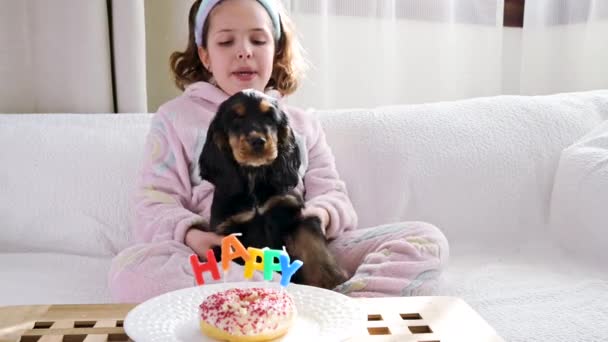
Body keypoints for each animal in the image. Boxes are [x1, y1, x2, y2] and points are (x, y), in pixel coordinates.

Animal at [198, 89, 346, 288]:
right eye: (236, 119)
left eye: (269, 117)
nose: (258, 141)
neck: (254, 177)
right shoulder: (230, 229)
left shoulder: (291, 212)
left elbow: (310, 239)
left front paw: (330, 279)